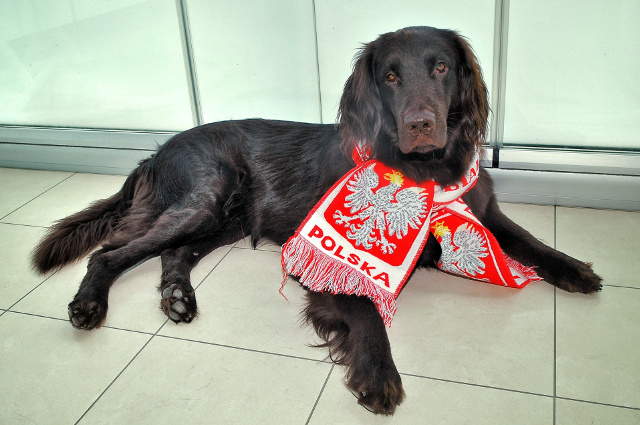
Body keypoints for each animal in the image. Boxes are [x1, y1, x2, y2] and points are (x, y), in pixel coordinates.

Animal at [31, 25, 600, 410]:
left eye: (441, 67)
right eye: (390, 75)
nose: (420, 124)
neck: (425, 175)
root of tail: (157, 150)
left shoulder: (486, 212)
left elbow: (529, 241)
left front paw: (576, 269)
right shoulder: (320, 255)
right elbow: (366, 309)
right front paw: (378, 373)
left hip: (224, 219)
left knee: (172, 253)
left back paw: (176, 297)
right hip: (204, 198)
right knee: (110, 253)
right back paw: (88, 304)